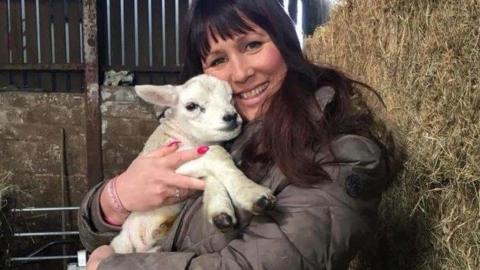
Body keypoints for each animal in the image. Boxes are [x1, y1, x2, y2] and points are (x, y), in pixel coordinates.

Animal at [110, 74, 276, 253]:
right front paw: (252, 194)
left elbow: (212, 176)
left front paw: (220, 213)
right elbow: (217, 153)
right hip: (121, 245)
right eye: (191, 106)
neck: (189, 138)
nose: (231, 116)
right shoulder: (167, 165)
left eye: (231, 98)